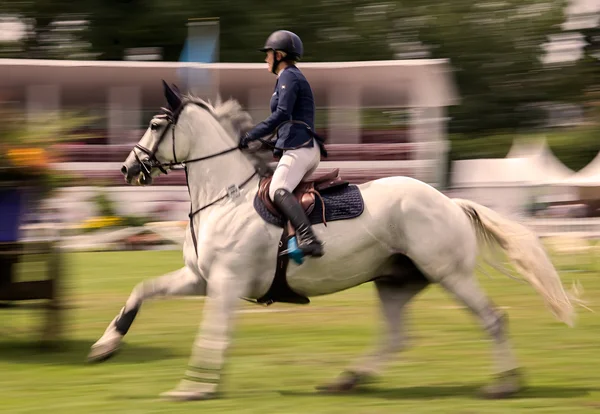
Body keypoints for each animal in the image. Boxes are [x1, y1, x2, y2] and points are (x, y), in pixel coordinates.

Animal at [86, 83, 580, 402]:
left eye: (155, 124)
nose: (127, 169)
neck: (224, 196)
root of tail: (449, 201)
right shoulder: (200, 279)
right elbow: (142, 291)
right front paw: (106, 346)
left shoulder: (225, 284)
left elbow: (212, 333)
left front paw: (194, 387)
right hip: (395, 281)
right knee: (397, 337)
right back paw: (347, 380)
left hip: (449, 274)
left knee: (493, 319)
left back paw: (505, 384)